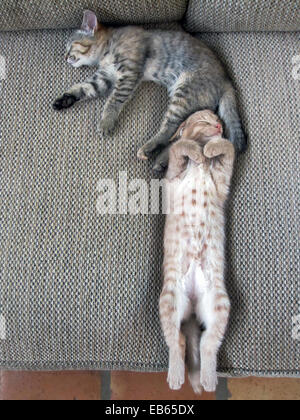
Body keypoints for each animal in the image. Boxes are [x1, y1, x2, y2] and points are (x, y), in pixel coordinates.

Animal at [53, 10, 246, 167]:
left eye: (71, 46)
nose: (65, 57)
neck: (109, 46)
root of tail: (225, 79)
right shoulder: (104, 77)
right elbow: (84, 87)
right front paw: (65, 99)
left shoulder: (129, 74)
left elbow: (113, 100)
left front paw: (106, 121)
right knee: (186, 136)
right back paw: (162, 161)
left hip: (184, 94)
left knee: (170, 128)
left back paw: (149, 149)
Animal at [161, 109, 236, 394]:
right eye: (205, 120)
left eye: (219, 120)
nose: (219, 126)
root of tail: (192, 304)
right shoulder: (172, 175)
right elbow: (180, 145)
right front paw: (197, 149)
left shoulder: (222, 178)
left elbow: (229, 147)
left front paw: (213, 147)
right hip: (169, 298)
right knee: (178, 341)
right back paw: (176, 374)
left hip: (219, 301)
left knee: (207, 343)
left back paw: (207, 378)